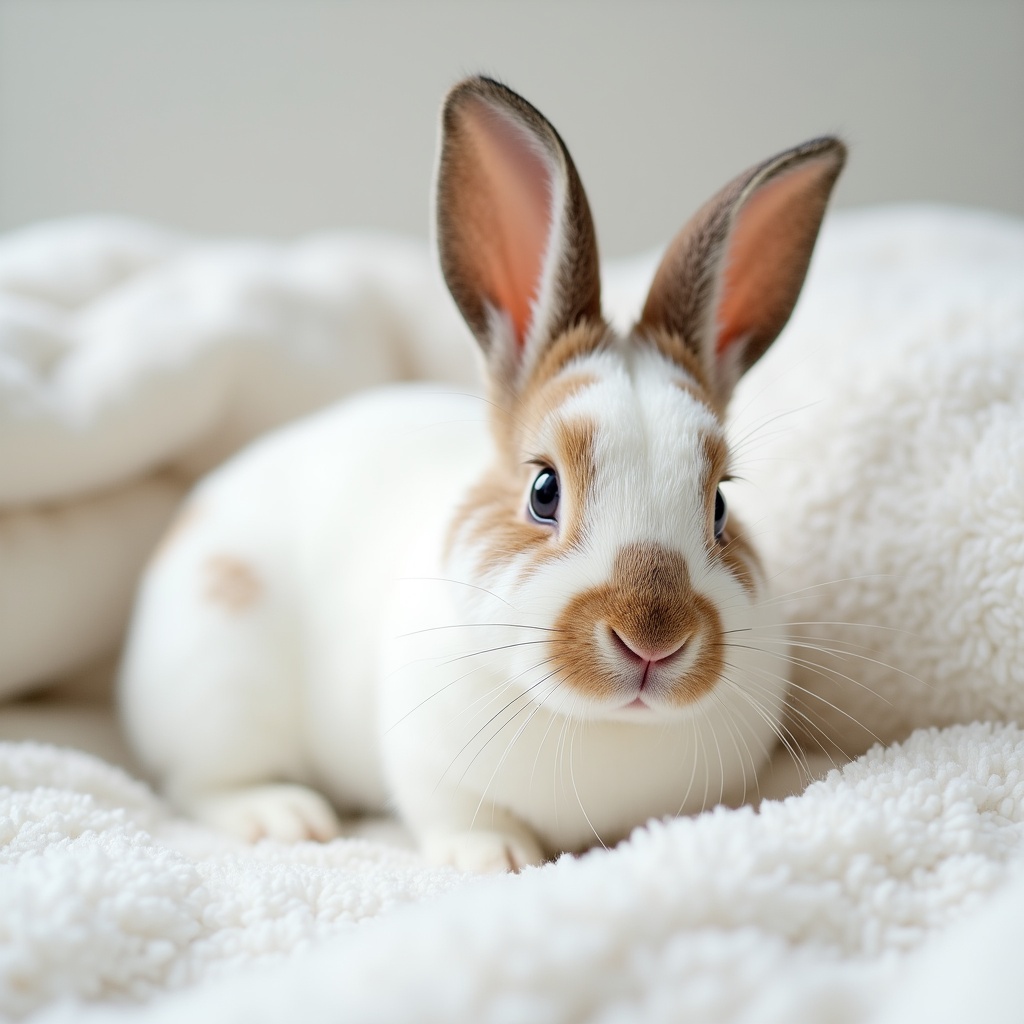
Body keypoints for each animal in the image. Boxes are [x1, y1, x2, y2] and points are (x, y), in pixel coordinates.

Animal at [119, 76, 845, 873]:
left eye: (719, 505)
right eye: (542, 490)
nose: (652, 641)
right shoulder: (429, 765)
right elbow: (459, 813)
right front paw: (497, 858)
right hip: (219, 683)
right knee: (200, 782)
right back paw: (284, 816)